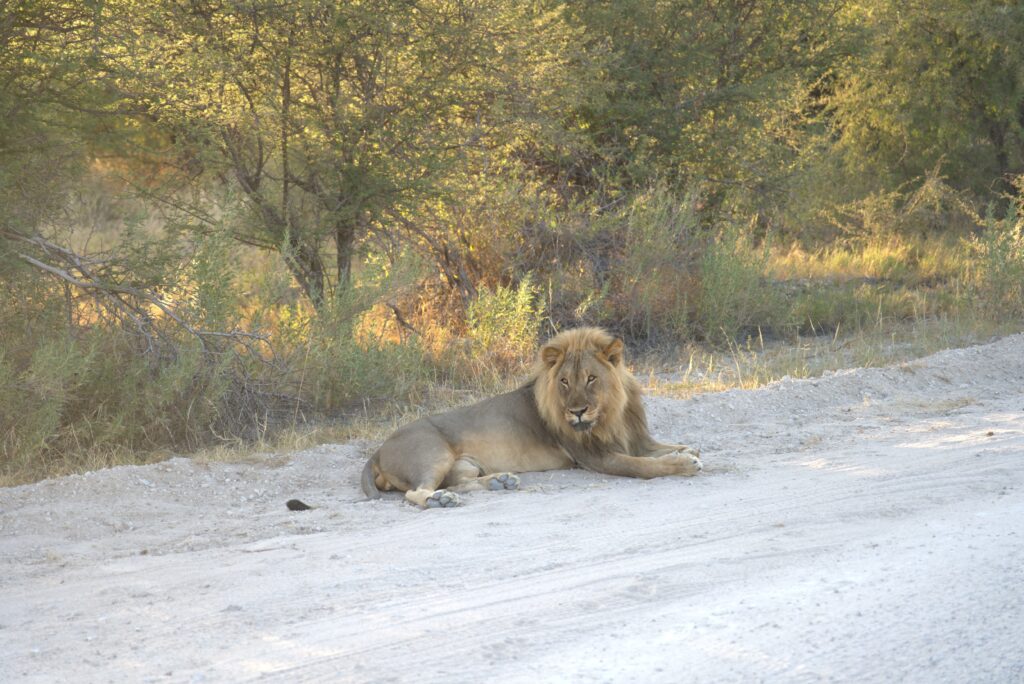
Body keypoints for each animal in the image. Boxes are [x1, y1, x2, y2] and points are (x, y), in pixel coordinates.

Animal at [361, 327, 702, 508]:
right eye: (564, 381)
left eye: (591, 378)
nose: (577, 412)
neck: (611, 412)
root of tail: (378, 450)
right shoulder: (595, 456)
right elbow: (643, 466)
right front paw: (684, 464)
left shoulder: (636, 439)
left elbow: (665, 448)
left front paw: (687, 450)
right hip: (433, 454)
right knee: (416, 492)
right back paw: (441, 501)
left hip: (464, 464)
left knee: (460, 483)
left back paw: (501, 481)